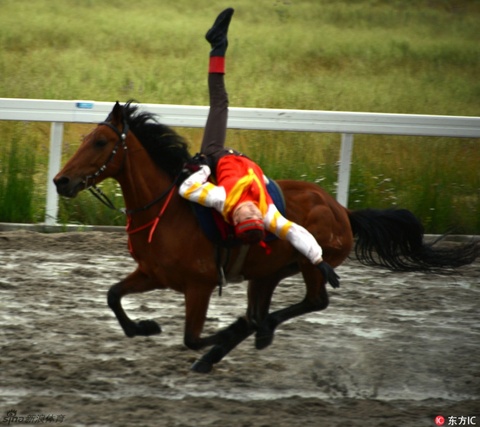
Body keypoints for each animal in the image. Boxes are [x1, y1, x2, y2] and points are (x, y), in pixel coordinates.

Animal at [55, 102, 476, 372]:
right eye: (85, 138)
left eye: (99, 142)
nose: (61, 181)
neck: (168, 208)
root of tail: (343, 211)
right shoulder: (153, 273)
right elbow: (113, 296)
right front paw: (143, 327)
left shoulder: (199, 284)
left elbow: (192, 336)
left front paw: (222, 334)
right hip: (267, 272)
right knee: (269, 309)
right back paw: (248, 337)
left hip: (306, 264)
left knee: (314, 301)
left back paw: (243, 338)